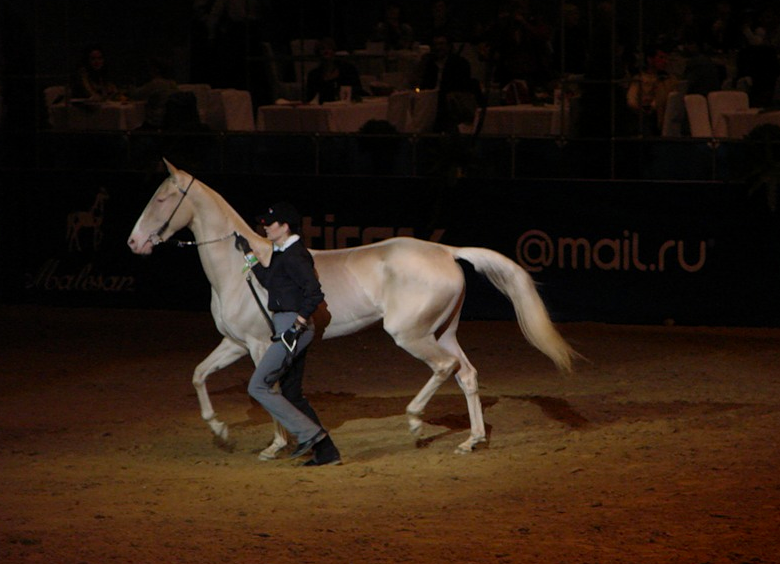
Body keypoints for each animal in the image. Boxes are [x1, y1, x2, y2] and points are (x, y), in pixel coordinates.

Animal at [128, 160, 576, 458]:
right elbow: (199, 374)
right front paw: (221, 432)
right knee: (466, 374)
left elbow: (268, 392)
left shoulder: (259, 346)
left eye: (162, 198)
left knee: (445, 368)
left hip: (411, 335)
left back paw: (415, 421)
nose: (134, 243)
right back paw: (472, 440)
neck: (244, 269)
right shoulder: (235, 343)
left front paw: (276, 445)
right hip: (443, 331)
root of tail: (446, 251)